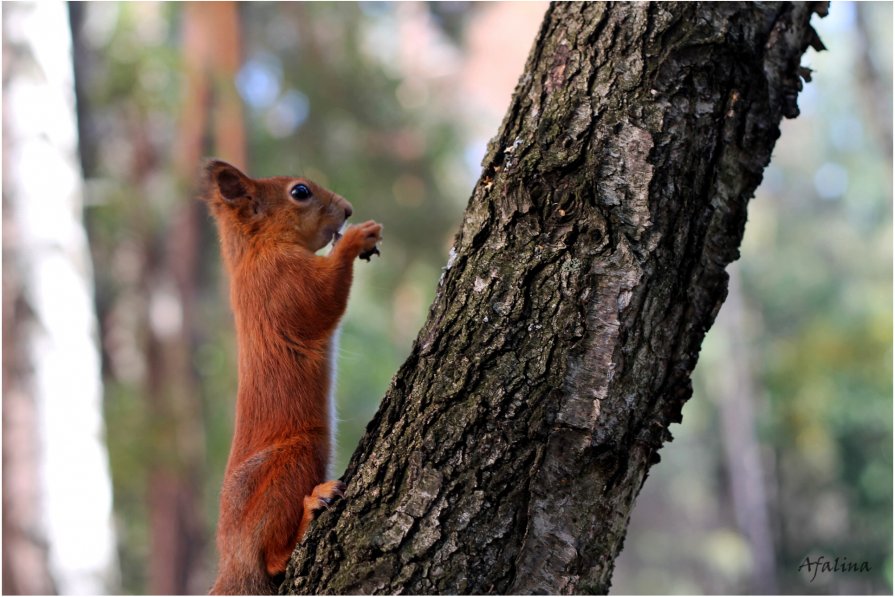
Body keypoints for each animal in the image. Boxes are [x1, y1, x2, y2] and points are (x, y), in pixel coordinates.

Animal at [201, 161, 384, 592]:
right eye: (300, 191)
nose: (348, 210)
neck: (258, 249)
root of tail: (233, 563)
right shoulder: (282, 285)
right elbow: (322, 300)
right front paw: (355, 239)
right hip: (298, 456)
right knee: (271, 559)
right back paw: (311, 511)